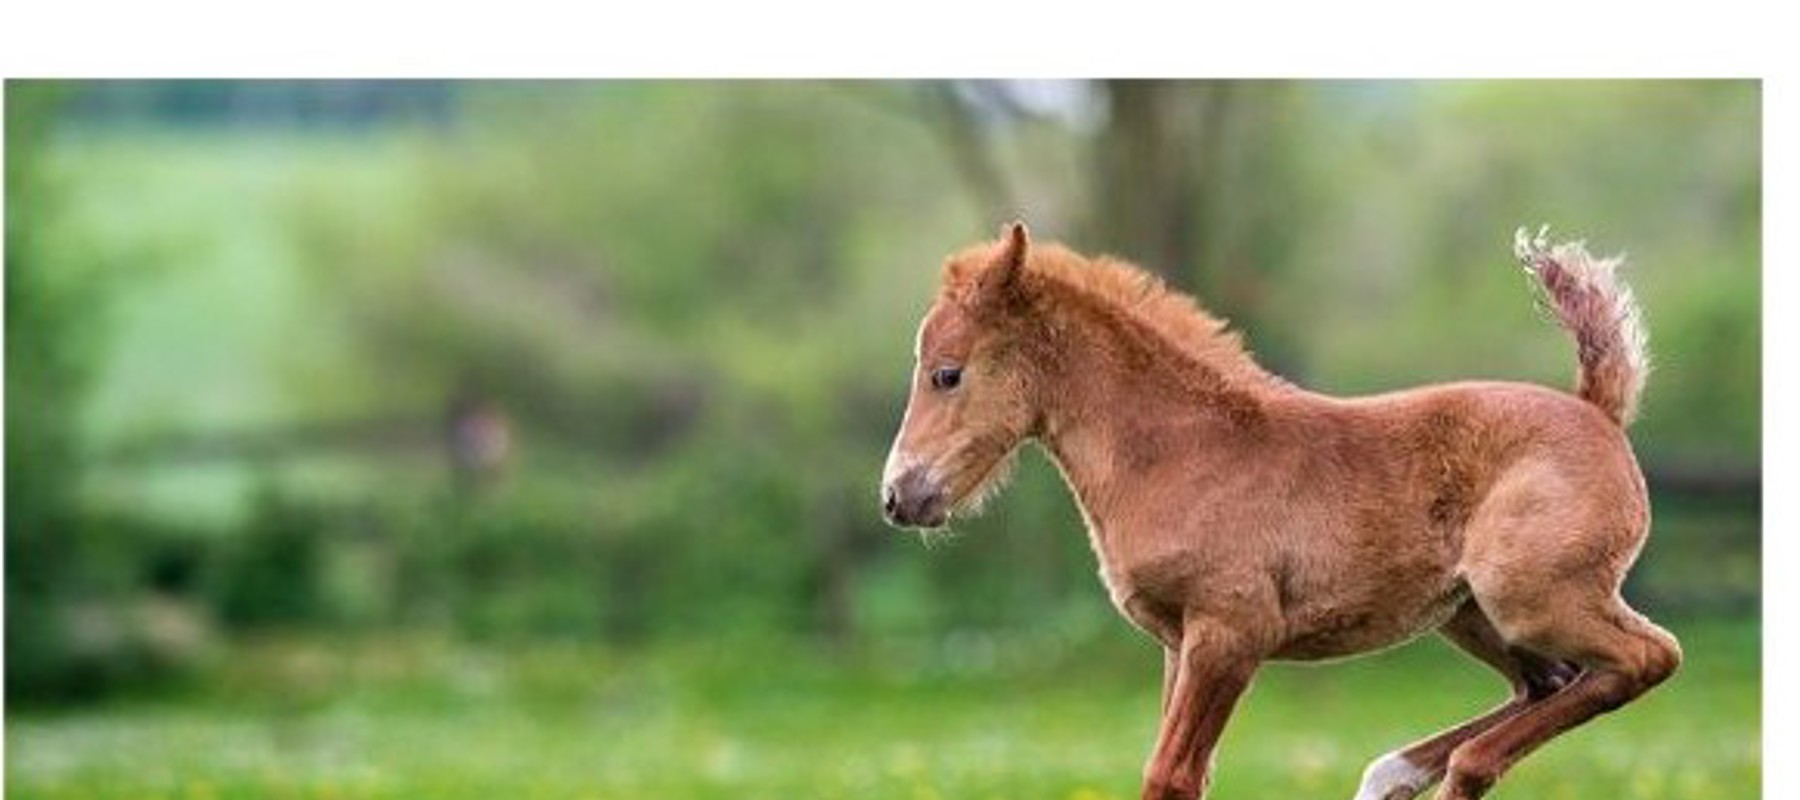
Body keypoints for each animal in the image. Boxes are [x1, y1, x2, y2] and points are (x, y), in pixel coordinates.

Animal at [878, 223, 1677, 800]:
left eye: (946, 374)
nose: (899, 497)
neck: (1180, 454)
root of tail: (1597, 411)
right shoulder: (1177, 644)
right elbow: (1181, 773)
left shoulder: (1231, 634)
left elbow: (1170, 776)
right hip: (1470, 614)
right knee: (1552, 683)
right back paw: (1393, 777)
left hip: (1529, 598)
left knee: (1648, 658)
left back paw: (1446, 771)